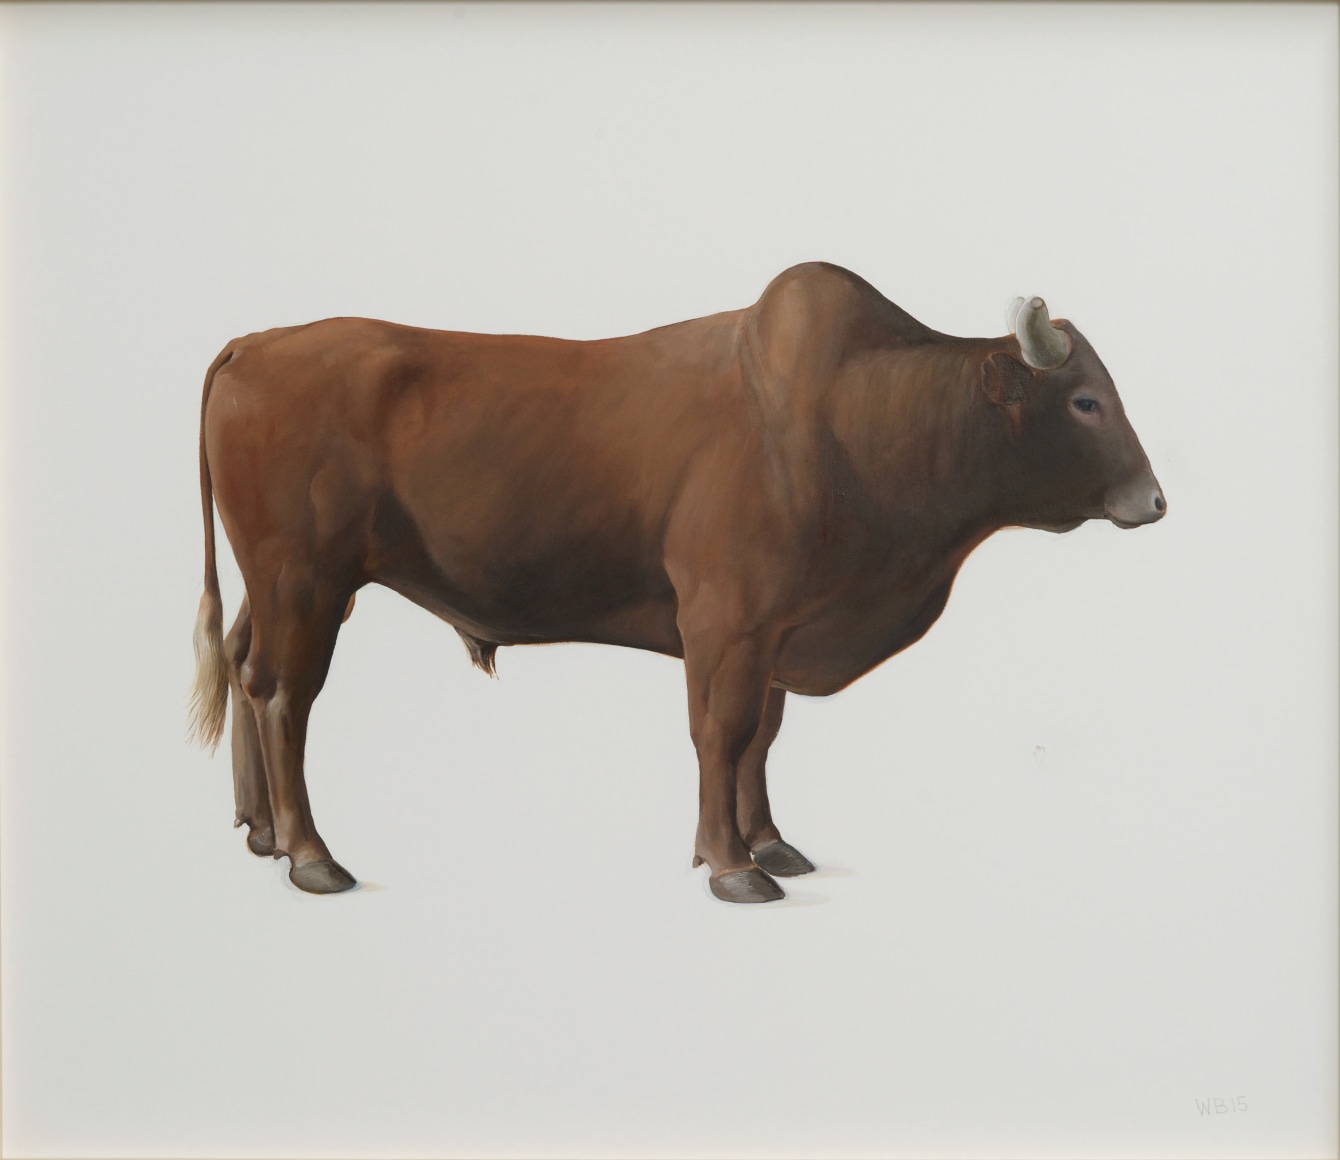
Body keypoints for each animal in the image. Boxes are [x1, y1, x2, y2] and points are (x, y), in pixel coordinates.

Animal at [188, 262, 1165, 903]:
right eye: (1084, 401)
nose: (1153, 501)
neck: (853, 421)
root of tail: (254, 343)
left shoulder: (775, 636)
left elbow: (760, 740)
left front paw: (771, 844)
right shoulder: (726, 627)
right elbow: (719, 736)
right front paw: (730, 865)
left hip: (276, 587)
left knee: (239, 666)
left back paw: (261, 831)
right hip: (305, 583)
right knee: (282, 695)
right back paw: (311, 855)